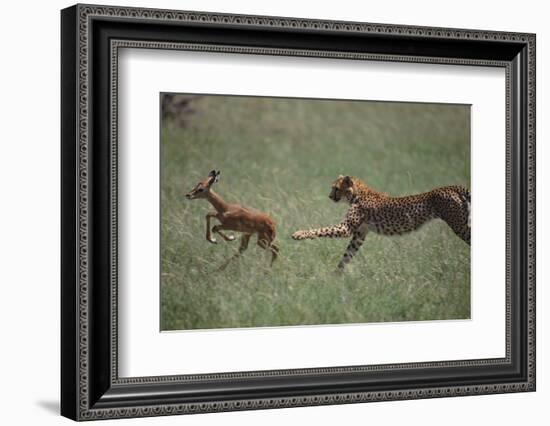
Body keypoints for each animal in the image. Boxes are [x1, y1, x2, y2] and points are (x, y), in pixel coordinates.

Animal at [292, 176, 472, 270]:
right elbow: (347, 255)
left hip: (460, 226)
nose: (330, 196)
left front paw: (299, 234)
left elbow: (321, 229)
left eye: (336, 188)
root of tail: (451, 187)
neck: (357, 193)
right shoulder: (360, 234)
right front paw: (336, 276)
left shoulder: (346, 229)